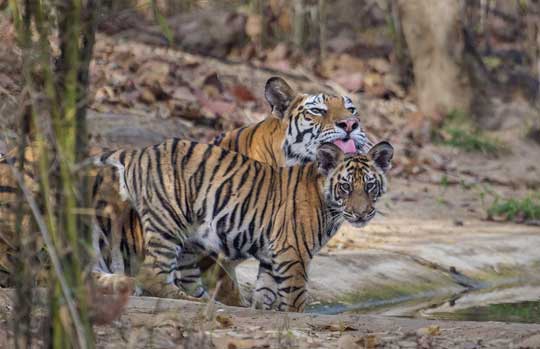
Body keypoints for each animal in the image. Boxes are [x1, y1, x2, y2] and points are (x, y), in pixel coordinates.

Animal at [93, 137, 392, 312]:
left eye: (369, 185)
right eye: (345, 187)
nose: (362, 213)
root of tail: (140, 152)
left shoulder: (273, 255)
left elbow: (267, 291)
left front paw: (260, 309)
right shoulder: (293, 252)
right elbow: (295, 295)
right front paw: (293, 315)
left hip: (189, 239)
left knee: (184, 275)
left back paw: (204, 299)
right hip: (167, 221)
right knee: (151, 274)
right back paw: (186, 299)